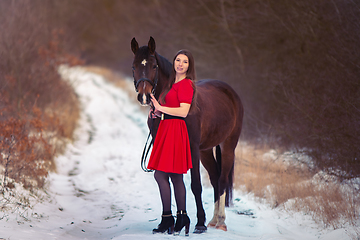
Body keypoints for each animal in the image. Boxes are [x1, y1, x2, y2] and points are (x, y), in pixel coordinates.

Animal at [131, 36, 243, 233]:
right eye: (134, 66)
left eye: (154, 66)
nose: (144, 96)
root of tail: (231, 93)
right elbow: (170, 179)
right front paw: (170, 223)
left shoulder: (192, 148)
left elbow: (195, 185)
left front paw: (199, 223)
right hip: (206, 151)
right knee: (215, 179)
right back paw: (213, 220)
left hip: (228, 146)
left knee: (222, 181)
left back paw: (220, 222)